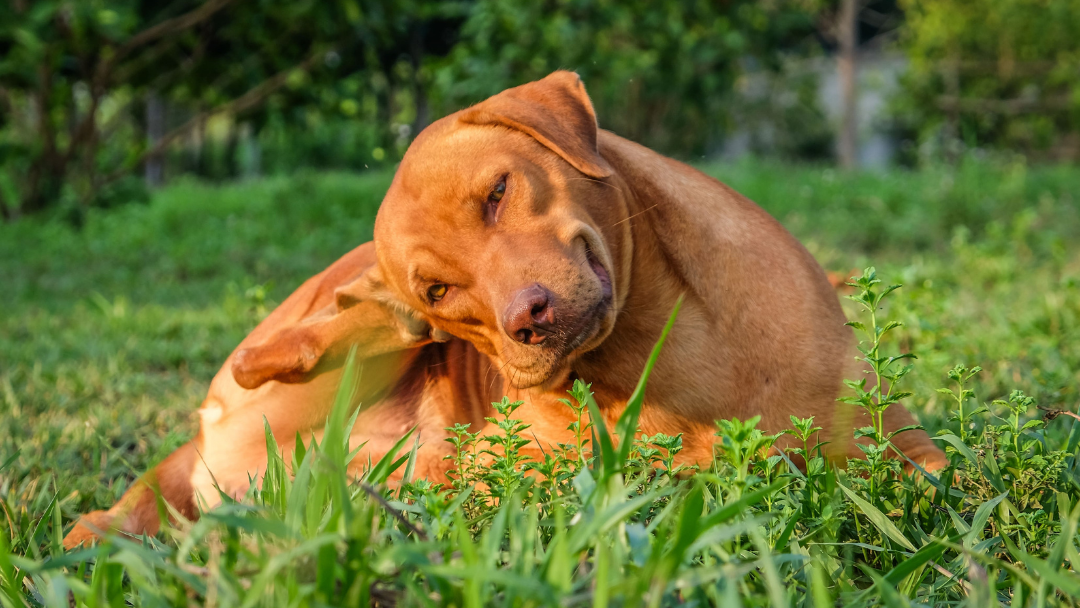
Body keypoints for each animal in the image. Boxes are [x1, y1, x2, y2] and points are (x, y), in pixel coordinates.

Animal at [67, 73, 946, 548]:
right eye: (441, 288)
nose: (528, 318)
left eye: (496, 192)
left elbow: (947, 484)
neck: (661, 356)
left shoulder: (909, 455)